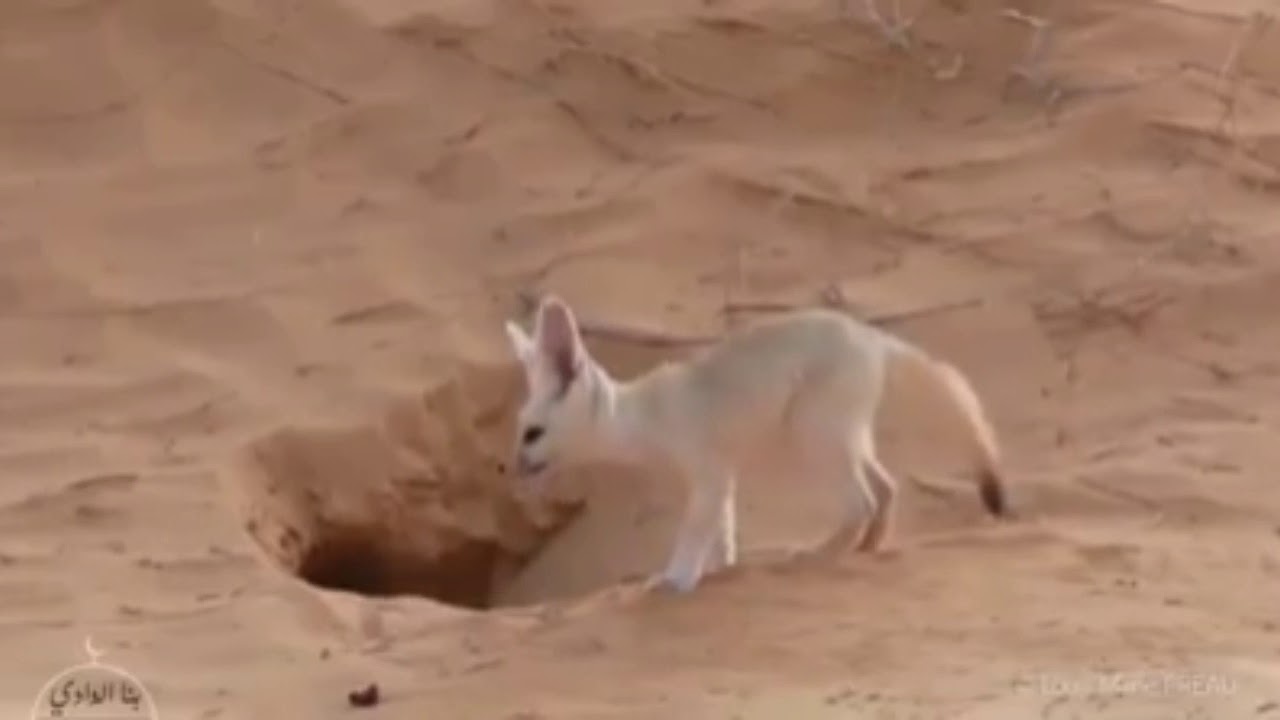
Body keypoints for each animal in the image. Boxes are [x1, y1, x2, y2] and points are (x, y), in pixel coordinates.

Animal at [502, 294, 1009, 594]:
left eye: (532, 434)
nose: (513, 469)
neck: (644, 413)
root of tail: (872, 335)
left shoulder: (708, 475)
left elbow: (693, 536)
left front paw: (674, 580)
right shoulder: (723, 479)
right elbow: (723, 535)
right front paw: (719, 570)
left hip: (812, 435)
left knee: (861, 501)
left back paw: (816, 555)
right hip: (847, 438)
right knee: (886, 488)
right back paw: (867, 547)